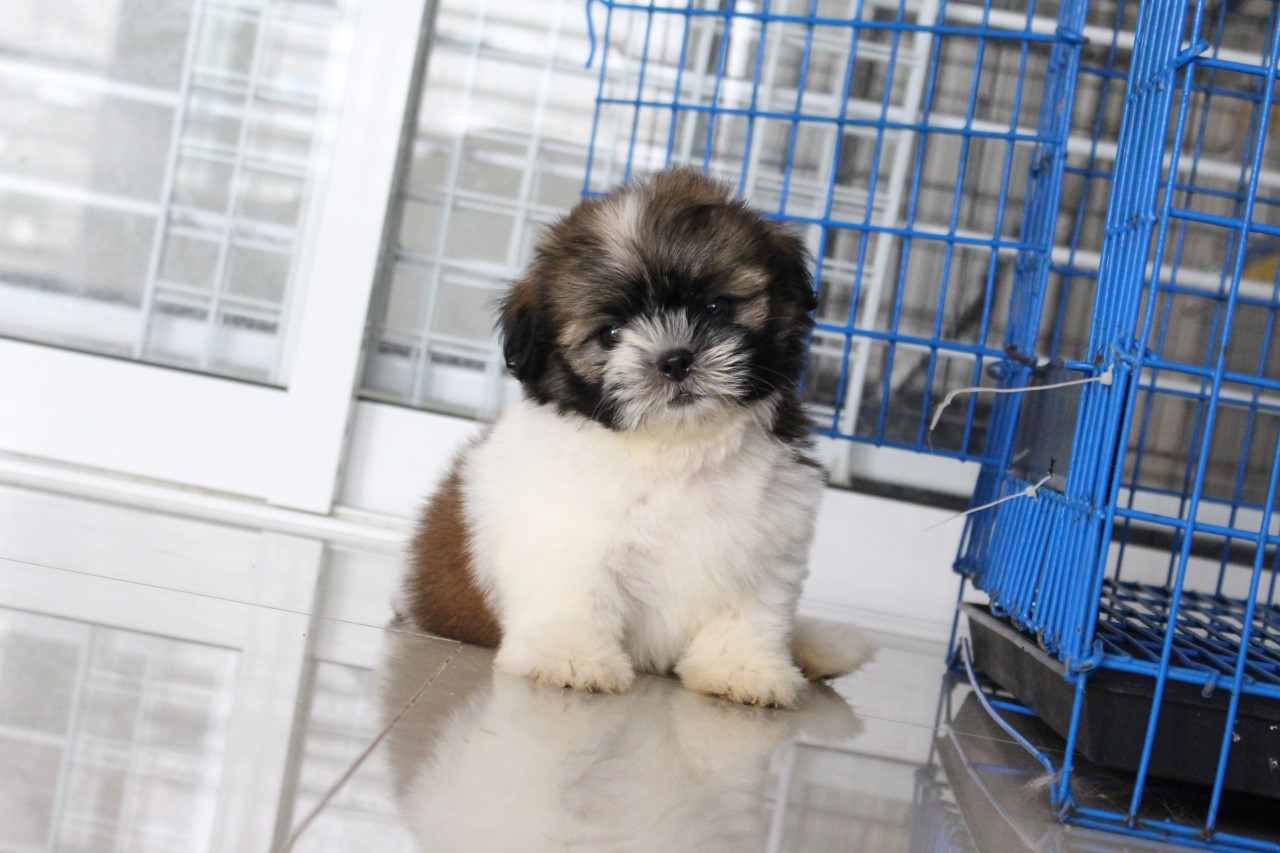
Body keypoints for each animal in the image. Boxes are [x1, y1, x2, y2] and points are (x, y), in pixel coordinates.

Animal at [398, 168, 871, 708]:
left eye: (716, 306)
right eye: (610, 334)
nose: (675, 359)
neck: (677, 451)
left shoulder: (765, 547)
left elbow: (750, 615)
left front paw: (744, 669)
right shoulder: (571, 540)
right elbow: (574, 598)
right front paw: (571, 658)